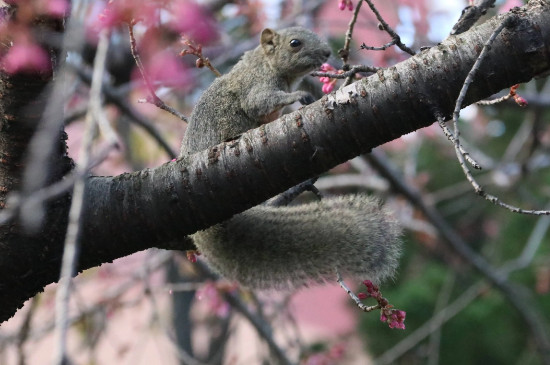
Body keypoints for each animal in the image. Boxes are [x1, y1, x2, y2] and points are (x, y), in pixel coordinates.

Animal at [181, 27, 402, 288]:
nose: (327, 53)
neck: (267, 64)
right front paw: (299, 95)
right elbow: (259, 102)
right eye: (294, 43)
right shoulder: (256, 84)